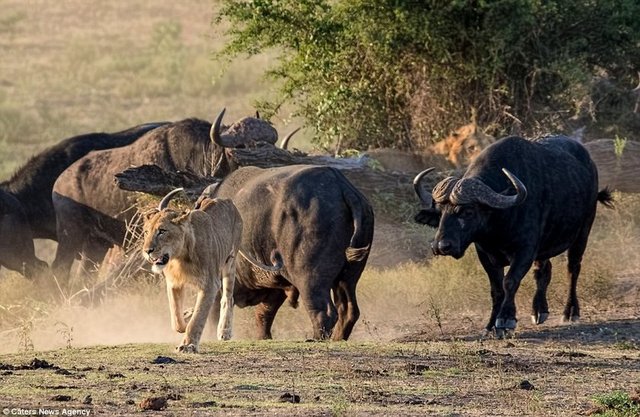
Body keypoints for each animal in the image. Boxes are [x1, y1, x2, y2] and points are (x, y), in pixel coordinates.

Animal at [413, 135, 613, 336]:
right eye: (440, 212)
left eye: (468, 211)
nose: (441, 246)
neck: (498, 226)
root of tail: (590, 164)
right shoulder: (485, 254)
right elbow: (496, 289)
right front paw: (491, 325)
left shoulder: (525, 250)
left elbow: (509, 282)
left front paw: (505, 320)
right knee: (543, 271)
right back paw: (539, 310)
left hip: (583, 232)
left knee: (573, 269)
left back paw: (570, 312)